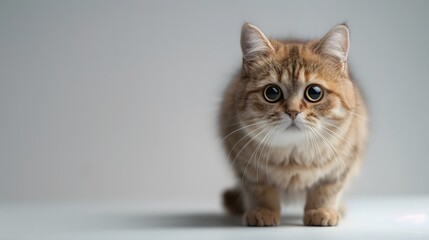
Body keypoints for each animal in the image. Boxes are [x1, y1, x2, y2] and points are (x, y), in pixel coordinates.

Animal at [219, 23, 366, 227]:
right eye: (272, 92)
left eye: (314, 92)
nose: (293, 112)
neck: (293, 155)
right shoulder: (246, 167)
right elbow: (260, 191)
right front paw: (263, 211)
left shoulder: (341, 165)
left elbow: (326, 191)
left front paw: (321, 210)